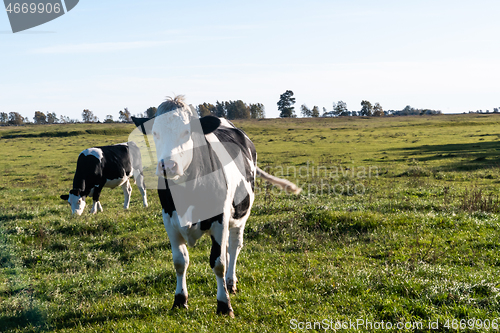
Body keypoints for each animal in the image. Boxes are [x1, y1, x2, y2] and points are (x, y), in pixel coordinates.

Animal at [135, 94, 300, 316]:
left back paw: (231, 282)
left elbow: (218, 262)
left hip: (240, 216)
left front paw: (224, 304)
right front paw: (180, 300)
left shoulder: (220, 219)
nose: (167, 166)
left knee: (234, 246)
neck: (188, 192)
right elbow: (180, 261)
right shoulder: (169, 219)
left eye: (187, 132)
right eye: (155, 133)